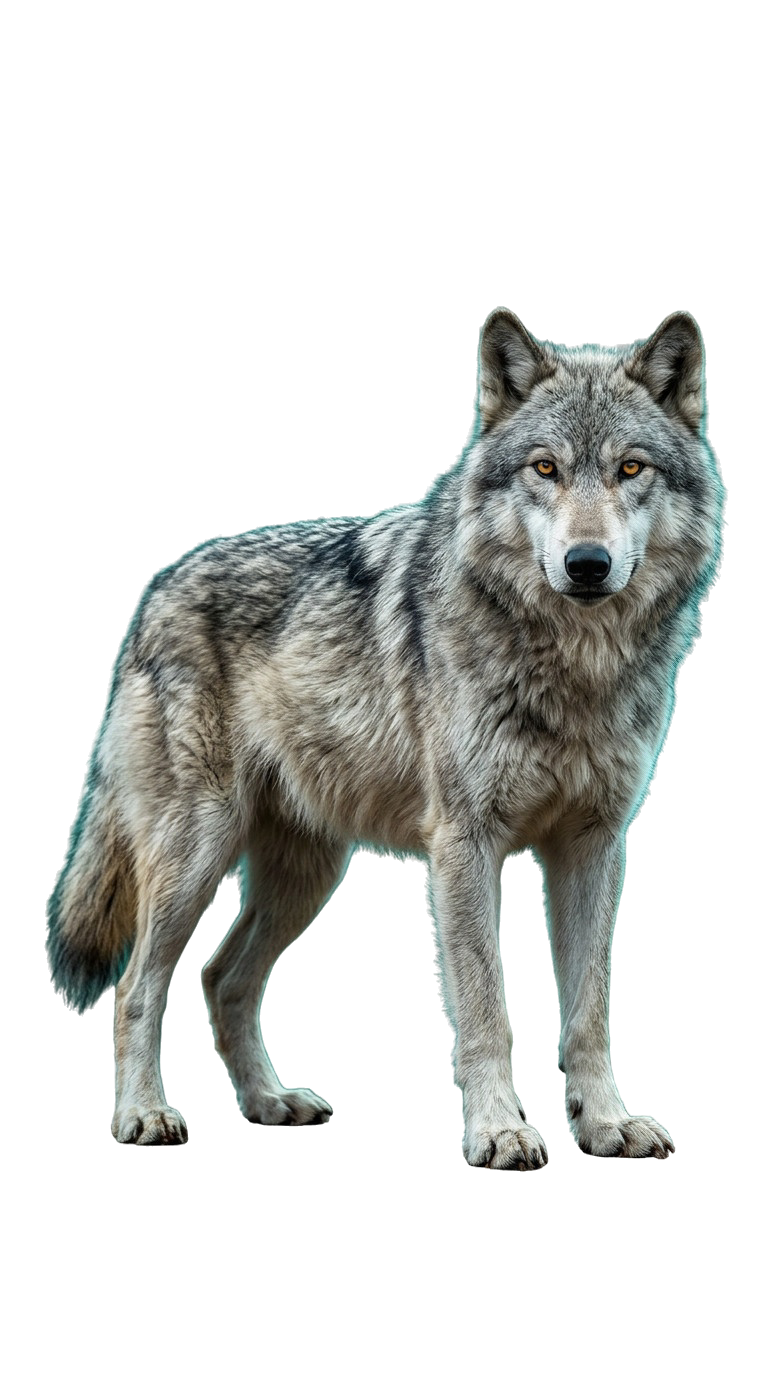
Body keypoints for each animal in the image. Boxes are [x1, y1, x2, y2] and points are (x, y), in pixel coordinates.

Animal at [47, 309, 724, 1162]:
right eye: (545, 468)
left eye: (631, 467)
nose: (588, 562)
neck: (573, 664)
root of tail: (155, 588)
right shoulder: (465, 845)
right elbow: (487, 1010)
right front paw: (499, 1130)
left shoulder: (594, 845)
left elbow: (588, 1014)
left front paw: (604, 1124)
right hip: (194, 856)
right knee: (141, 986)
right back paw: (143, 1115)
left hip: (309, 875)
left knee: (221, 978)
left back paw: (270, 1103)